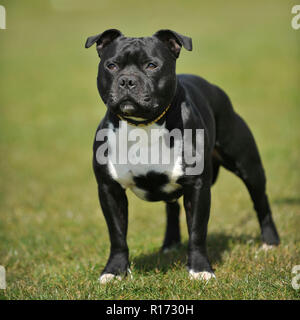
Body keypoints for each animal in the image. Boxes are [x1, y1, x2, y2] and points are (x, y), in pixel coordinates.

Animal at [84, 29, 278, 282]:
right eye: (112, 65)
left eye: (152, 65)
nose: (127, 80)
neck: (143, 125)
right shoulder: (109, 189)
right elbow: (117, 235)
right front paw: (114, 271)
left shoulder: (197, 187)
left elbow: (197, 231)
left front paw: (200, 269)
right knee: (172, 207)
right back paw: (170, 243)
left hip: (248, 166)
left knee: (261, 202)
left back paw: (270, 242)